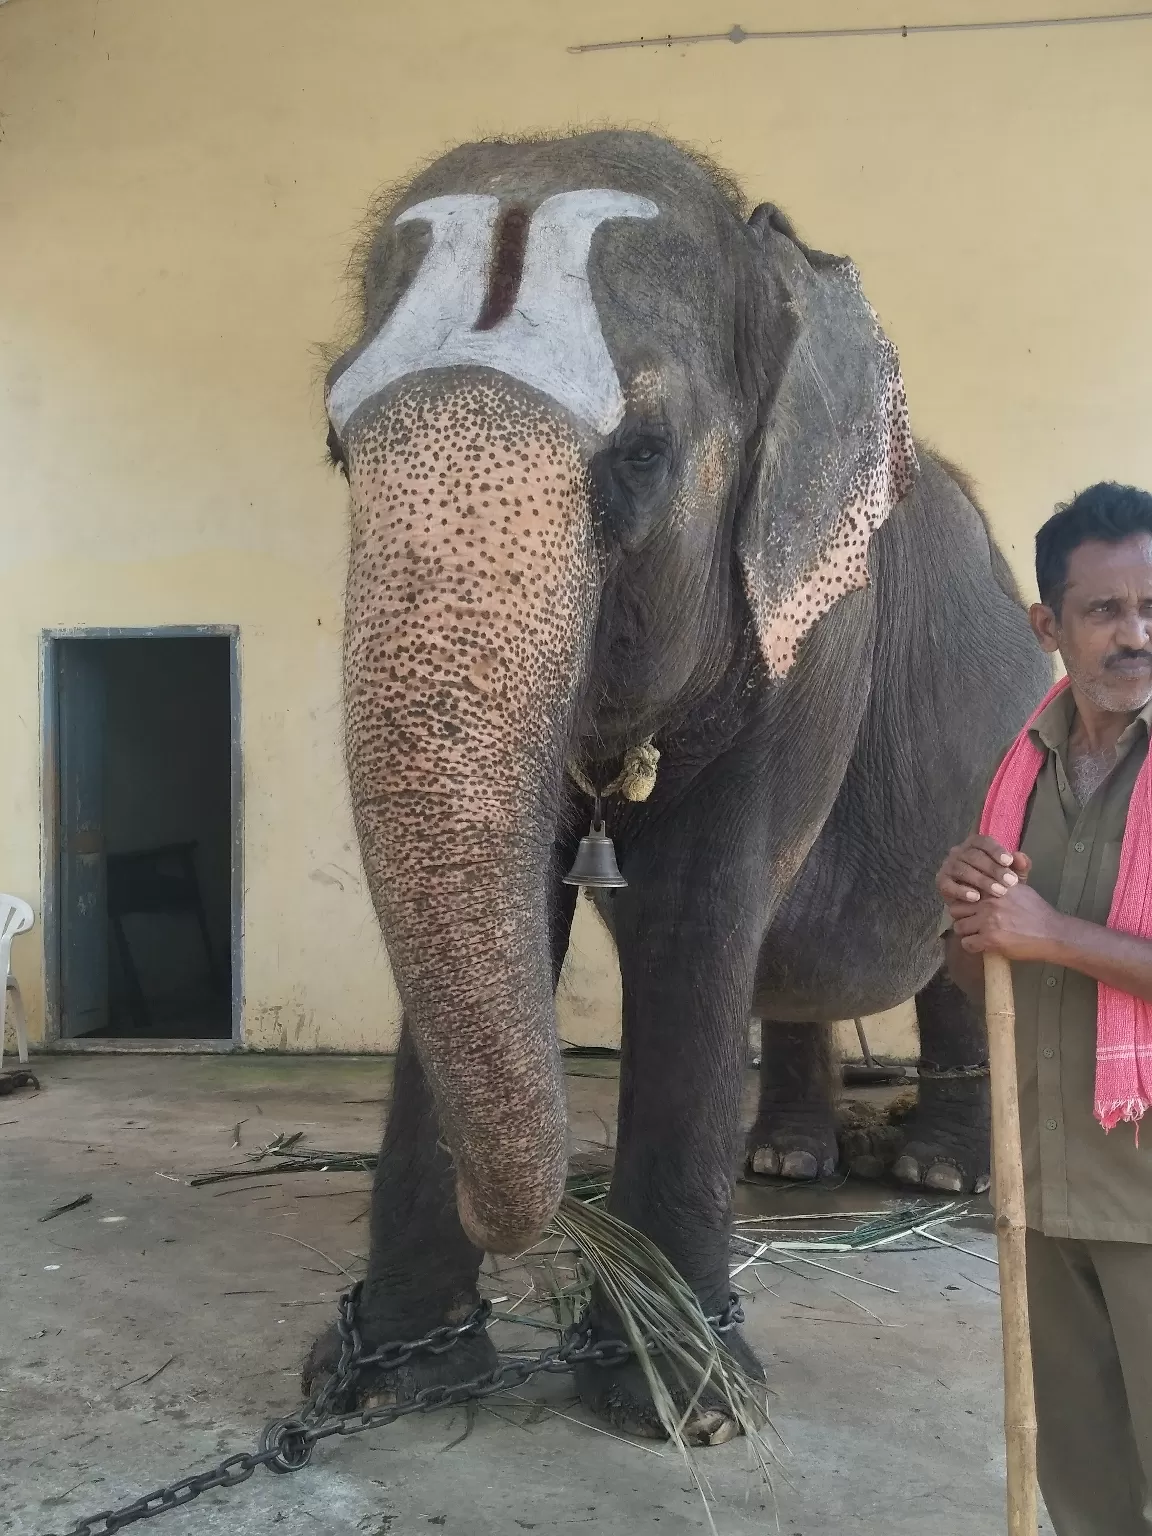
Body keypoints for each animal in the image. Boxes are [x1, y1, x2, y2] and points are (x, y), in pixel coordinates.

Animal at [311, 125, 1050, 1431]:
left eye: (643, 456)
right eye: (337, 448)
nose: (547, 1223)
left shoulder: (820, 633)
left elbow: (701, 910)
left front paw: (686, 1408)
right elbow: (523, 900)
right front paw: (388, 1381)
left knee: (952, 954)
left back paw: (933, 1169)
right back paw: (790, 1159)